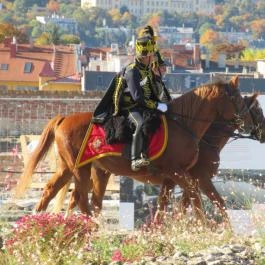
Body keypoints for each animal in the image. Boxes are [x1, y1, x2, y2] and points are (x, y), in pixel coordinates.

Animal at [14, 73, 258, 214]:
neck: (184, 124)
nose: (249, 124)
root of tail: (64, 118)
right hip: (80, 168)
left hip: (72, 168)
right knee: (80, 199)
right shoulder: (179, 173)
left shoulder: (174, 178)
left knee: (53, 191)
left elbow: (169, 205)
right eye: (238, 99)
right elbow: (195, 198)